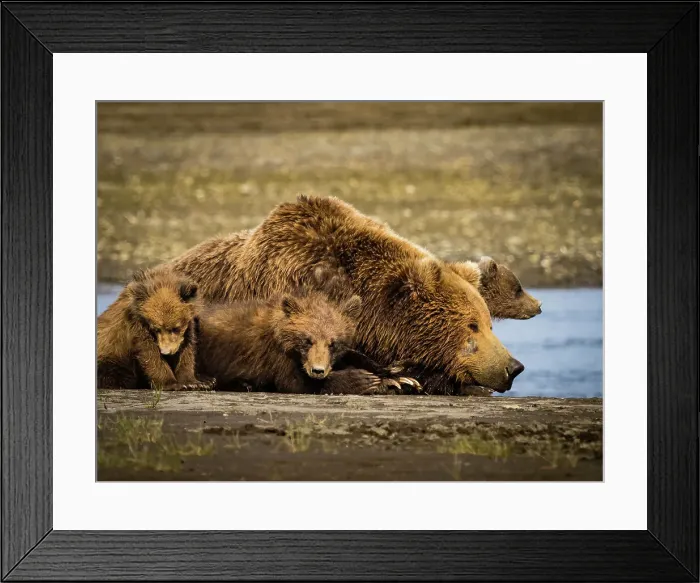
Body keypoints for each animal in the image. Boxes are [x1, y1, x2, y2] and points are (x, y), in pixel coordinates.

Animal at [196, 289, 419, 394]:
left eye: (333, 343)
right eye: (307, 340)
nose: (318, 370)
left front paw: (399, 378)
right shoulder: (274, 355)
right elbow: (296, 382)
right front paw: (363, 380)